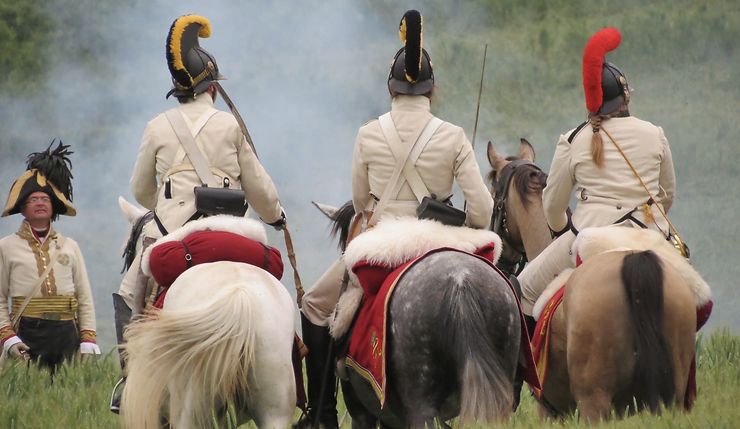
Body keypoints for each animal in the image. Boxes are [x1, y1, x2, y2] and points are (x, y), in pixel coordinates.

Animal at [488, 140, 704, 418]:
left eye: (494, 196)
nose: (502, 260)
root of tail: (634, 260)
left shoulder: (550, 411)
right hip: (672, 395)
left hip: (594, 399)